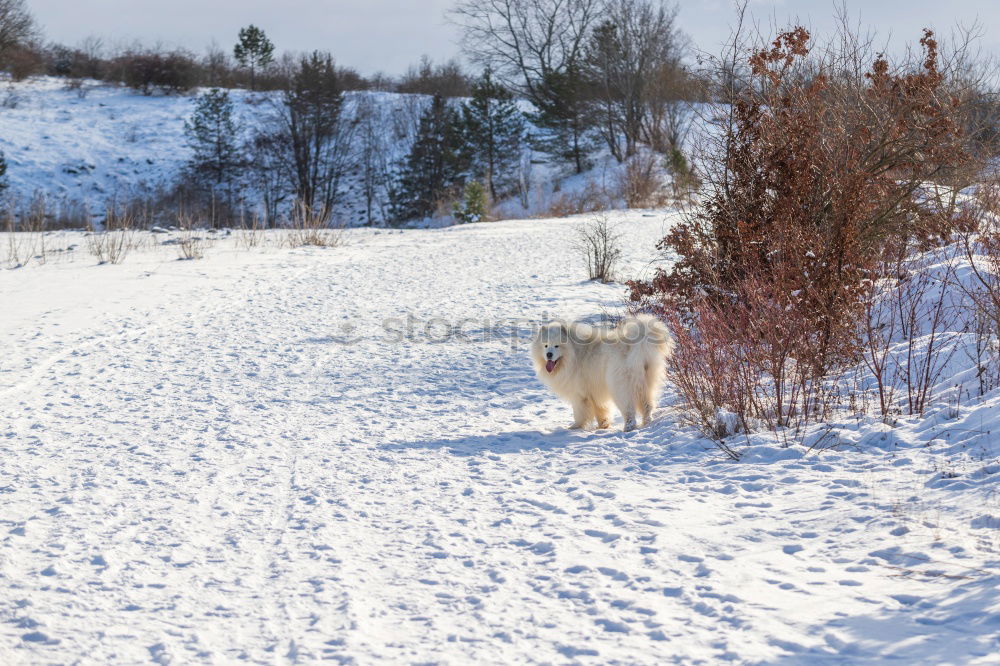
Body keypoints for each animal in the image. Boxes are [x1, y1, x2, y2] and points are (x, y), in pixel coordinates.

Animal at [532, 316, 672, 430]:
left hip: (619, 386)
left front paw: (575, 426)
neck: (574, 354)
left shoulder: (579, 394)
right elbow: (600, 410)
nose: (549, 354)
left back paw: (629, 427)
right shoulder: (593, 391)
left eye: (557, 346)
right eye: (545, 345)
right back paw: (647, 421)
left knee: (628, 409)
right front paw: (603, 425)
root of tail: (634, 346)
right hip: (646, 383)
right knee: (647, 405)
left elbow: (579, 412)